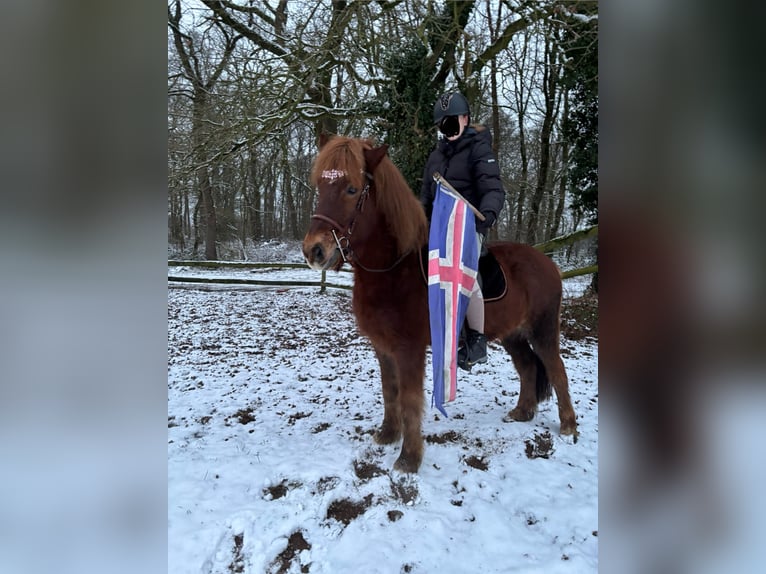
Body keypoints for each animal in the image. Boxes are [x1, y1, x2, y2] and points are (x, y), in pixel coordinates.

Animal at [302, 135, 577, 473]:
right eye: (320, 185)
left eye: (352, 189)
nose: (314, 250)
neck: (395, 269)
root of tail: (548, 263)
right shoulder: (383, 348)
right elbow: (389, 391)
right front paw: (387, 435)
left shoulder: (409, 350)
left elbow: (409, 400)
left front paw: (409, 458)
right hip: (513, 334)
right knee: (527, 366)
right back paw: (522, 412)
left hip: (543, 329)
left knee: (556, 369)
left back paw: (568, 426)